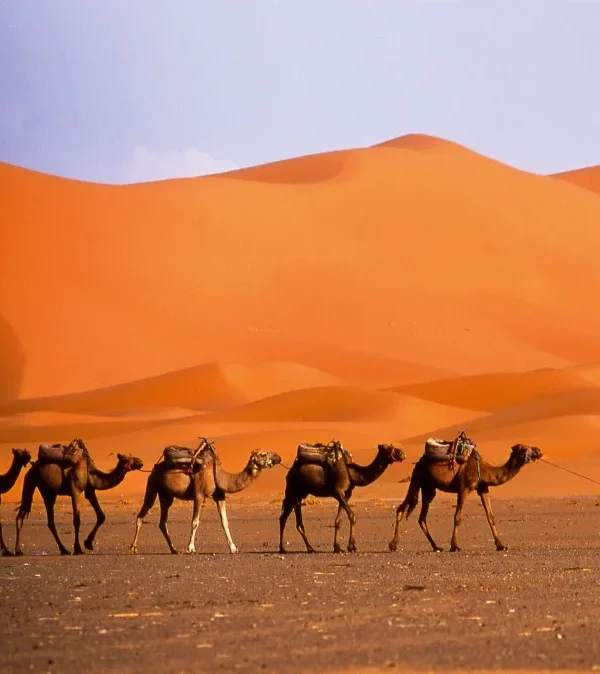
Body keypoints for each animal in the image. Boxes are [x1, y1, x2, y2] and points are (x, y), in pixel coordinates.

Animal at [15, 440, 143, 555]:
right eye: (128, 459)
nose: (141, 461)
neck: (89, 471)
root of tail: (33, 466)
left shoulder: (90, 490)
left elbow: (101, 516)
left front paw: (88, 543)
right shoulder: (75, 491)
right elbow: (77, 520)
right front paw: (78, 548)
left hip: (45, 489)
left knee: (46, 520)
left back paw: (63, 550)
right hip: (34, 482)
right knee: (28, 516)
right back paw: (18, 551)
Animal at [128, 444, 282, 554]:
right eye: (263, 454)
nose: (278, 457)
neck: (219, 475)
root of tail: (154, 468)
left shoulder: (220, 496)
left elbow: (225, 522)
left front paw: (233, 548)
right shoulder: (199, 495)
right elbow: (195, 522)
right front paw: (190, 548)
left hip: (166, 495)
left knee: (162, 522)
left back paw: (174, 549)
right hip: (152, 486)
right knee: (142, 514)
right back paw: (133, 548)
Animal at [388, 442, 543, 553]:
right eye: (524, 448)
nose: (538, 451)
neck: (484, 470)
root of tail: (419, 461)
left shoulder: (483, 489)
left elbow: (490, 517)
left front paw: (501, 545)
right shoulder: (464, 489)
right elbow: (457, 517)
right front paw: (454, 546)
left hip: (428, 488)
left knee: (422, 517)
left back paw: (436, 547)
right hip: (417, 478)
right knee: (402, 509)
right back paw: (393, 545)